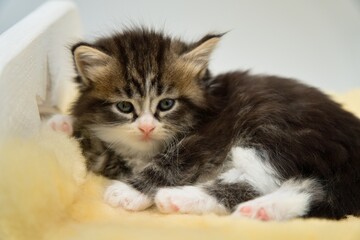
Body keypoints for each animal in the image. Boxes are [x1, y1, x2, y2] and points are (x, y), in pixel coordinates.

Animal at [50, 27, 360, 220]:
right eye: (125, 107)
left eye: (166, 104)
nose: (147, 127)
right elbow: (97, 150)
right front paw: (60, 123)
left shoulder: (206, 139)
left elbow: (171, 164)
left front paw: (129, 191)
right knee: (305, 188)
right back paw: (258, 212)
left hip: (275, 132)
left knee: (261, 180)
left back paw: (177, 198)